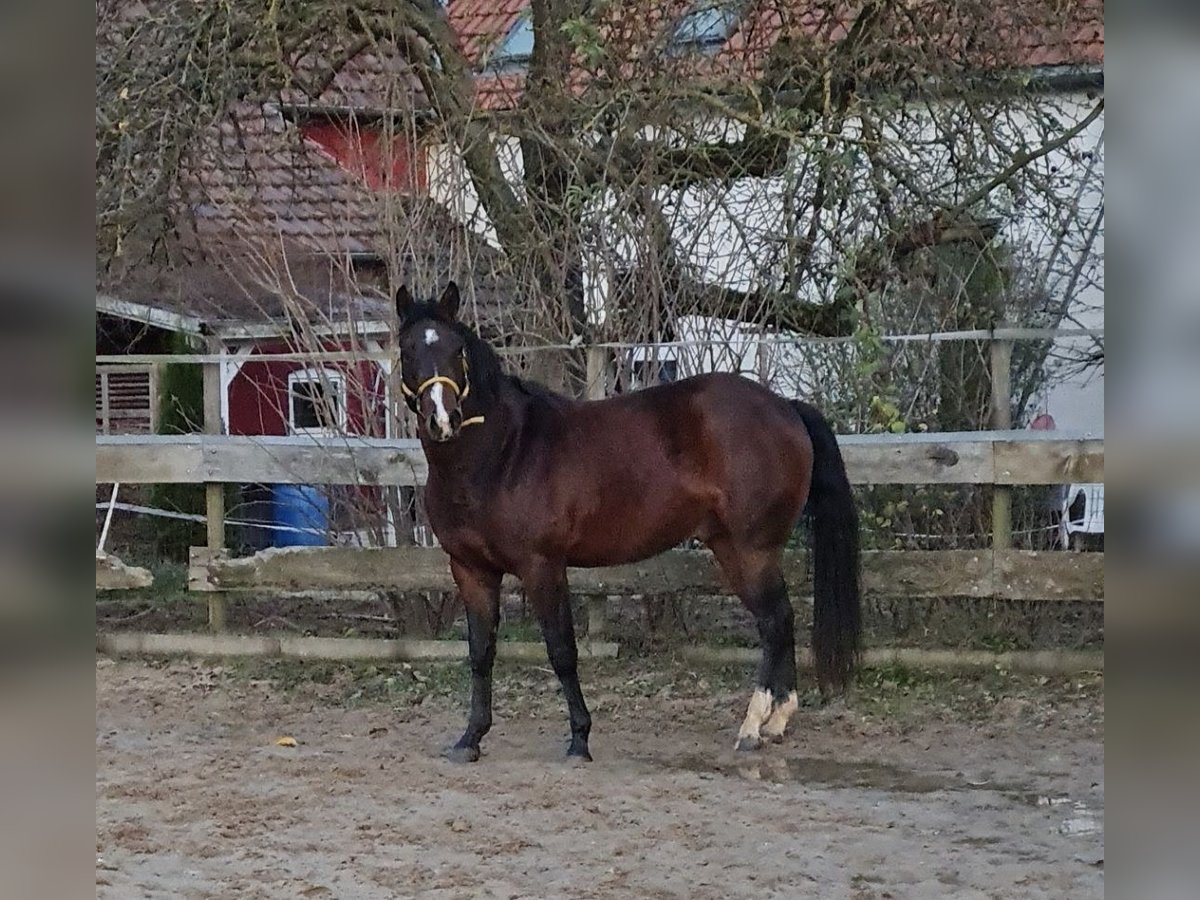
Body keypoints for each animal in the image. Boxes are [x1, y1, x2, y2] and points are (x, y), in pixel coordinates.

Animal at [398, 282, 859, 763]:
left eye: (456, 349)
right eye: (407, 349)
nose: (443, 419)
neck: (503, 453)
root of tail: (784, 406)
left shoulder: (542, 566)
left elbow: (561, 651)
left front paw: (580, 739)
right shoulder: (471, 571)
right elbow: (480, 653)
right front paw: (470, 738)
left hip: (752, 550)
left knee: (774, 622)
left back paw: (753, 726)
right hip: (734, 549)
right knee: (781, 621)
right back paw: (775, 722)